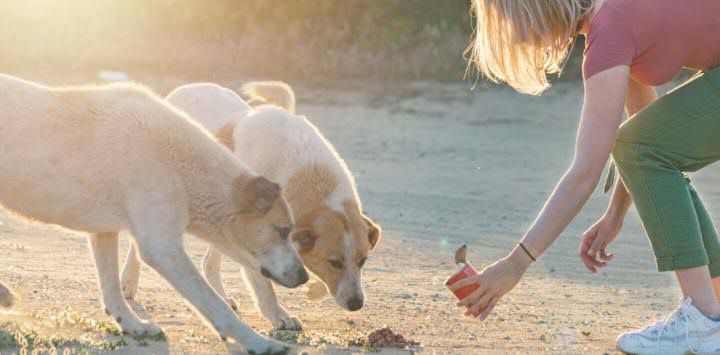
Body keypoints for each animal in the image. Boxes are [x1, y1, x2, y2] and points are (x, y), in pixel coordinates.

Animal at [0, 75, 304, 355]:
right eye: (283, 230)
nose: (304, 278)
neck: (181, 164)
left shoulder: (104, 232)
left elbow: (112, 290)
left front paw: (133, 326)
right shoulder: (163, 249)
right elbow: (215, 305)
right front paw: (259, 342)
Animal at [122, 80, 382, 330]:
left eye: (363, 261)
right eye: (334, 262)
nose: (357, 304)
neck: (306, 172)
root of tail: (182, 89)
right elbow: (264, 286)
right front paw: (279, 316)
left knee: (209, 262)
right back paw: (128, 282)